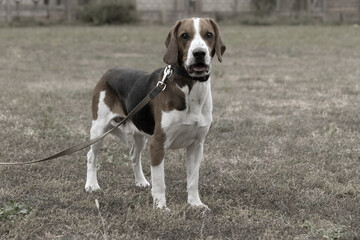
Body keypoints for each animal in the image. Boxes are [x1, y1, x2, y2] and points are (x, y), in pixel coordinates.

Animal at [85, 17, 225, 209]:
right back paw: (91, 185)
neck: (190, 87)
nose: (199, 53)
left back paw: (140, 181)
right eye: (184, 36)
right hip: (99, 128)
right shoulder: (158, 144)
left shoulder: (196, 146)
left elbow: (193, 180)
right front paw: (160, 207)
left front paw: (195, 204)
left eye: (209, 35)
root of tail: (108, 71)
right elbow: (160, 181)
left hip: (140, 134)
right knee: (91, 156)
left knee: (134, 155)